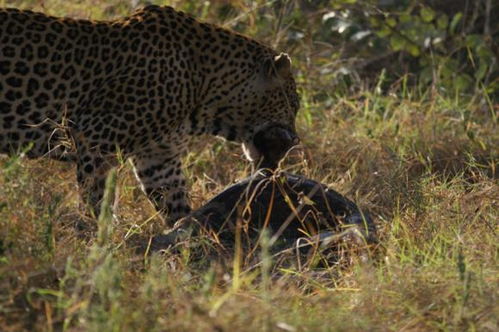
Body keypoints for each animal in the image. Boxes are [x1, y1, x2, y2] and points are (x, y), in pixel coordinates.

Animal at [0, 4, 300, 226]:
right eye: (295, 105)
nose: (296, 139)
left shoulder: (159, 157)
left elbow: (175, 201)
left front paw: (188, 241)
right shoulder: (96, 141)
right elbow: (96, 200)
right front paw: (97, 243)